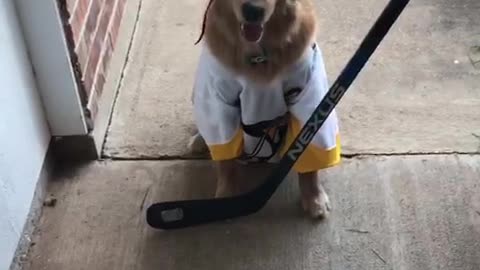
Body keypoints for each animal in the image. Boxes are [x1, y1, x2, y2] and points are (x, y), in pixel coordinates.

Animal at [188, 0, 342, 218]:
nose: (253, 11)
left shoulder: (309, 94)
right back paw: (200, 140)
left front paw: (314, 196)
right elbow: (226, 161)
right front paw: (226, 194)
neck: (259, 54)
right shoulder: (217, 99)